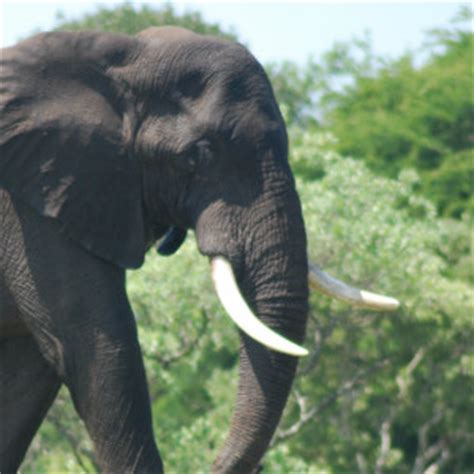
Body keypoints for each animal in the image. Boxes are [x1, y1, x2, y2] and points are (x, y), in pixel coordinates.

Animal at [0, 26, 398, 474]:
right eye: (199, 154)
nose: (213, 463)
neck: (121, 57)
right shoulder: (31, 204)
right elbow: (96, 340)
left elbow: (31, 371)